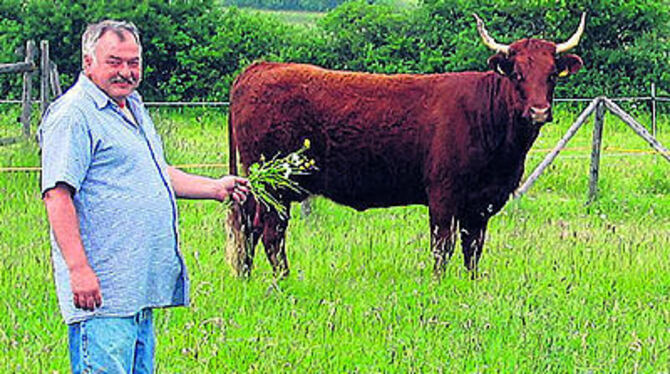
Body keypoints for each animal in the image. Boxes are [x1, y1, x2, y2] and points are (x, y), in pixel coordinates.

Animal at [228, 13, 584, 278]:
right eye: (517, 74)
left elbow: (472, 250)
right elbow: (442, 247)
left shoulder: (481, 203)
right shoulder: (443, 194)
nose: (539, 111)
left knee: (250, 227)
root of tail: (261, 68)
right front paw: (440, 286)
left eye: (552, 74)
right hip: (275, 186)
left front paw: (470, 285)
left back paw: (246, 277)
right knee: (271, 233)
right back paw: (284, 281)